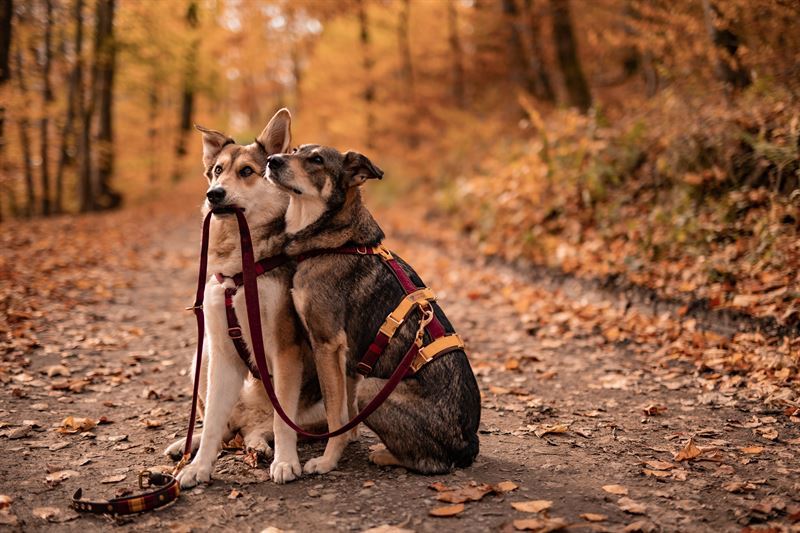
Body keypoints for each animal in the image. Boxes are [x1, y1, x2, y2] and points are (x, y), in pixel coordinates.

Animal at [167, 108, 324, 486]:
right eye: (217, 170)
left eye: (247, 172)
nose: (214, 194)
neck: (240, 270)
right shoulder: (222, 352)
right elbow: (211, 424)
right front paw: (200, 466)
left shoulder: (285, 352)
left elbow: (283, 422)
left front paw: (286, 461)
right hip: (202, 358)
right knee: (226, 427)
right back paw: (188, 445)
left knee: (264, 426)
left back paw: (260, 445)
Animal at [268, 143, 482, 472]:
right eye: (294, 150)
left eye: (316, 159)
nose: (271, 160)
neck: (337, 243)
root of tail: (468, 443)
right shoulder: (346, 357)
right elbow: (343, 412)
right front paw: (347, 440)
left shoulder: (326, 344)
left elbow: (334, 414)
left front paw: (328, 460)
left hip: (372, 390)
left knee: (432, 462)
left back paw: (385, 454)